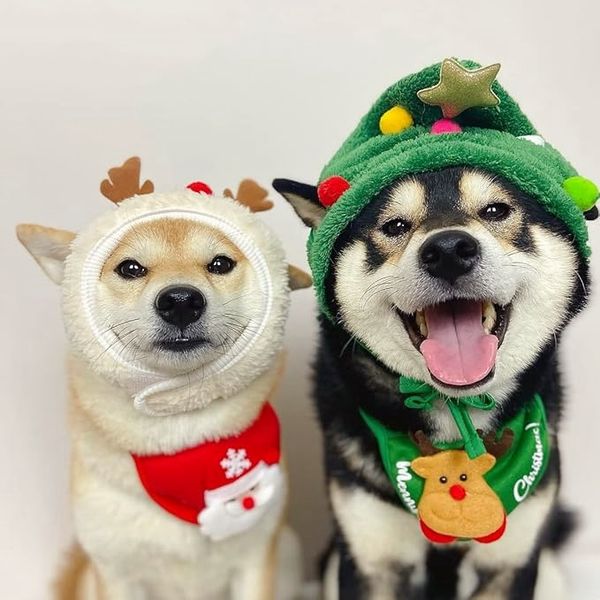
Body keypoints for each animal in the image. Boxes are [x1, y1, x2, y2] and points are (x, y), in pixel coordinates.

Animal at [17, 158, 310, 600]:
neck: (179, 439)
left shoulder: (255, 560)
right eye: (130, 268)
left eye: (220, 264)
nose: (181, 301)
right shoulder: (117, 571)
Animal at [276, 165, 592, 600]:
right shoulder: (370, 562)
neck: (457, 419)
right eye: (394, 226)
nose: (448, 251)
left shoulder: (510, 565)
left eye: (496, 210)